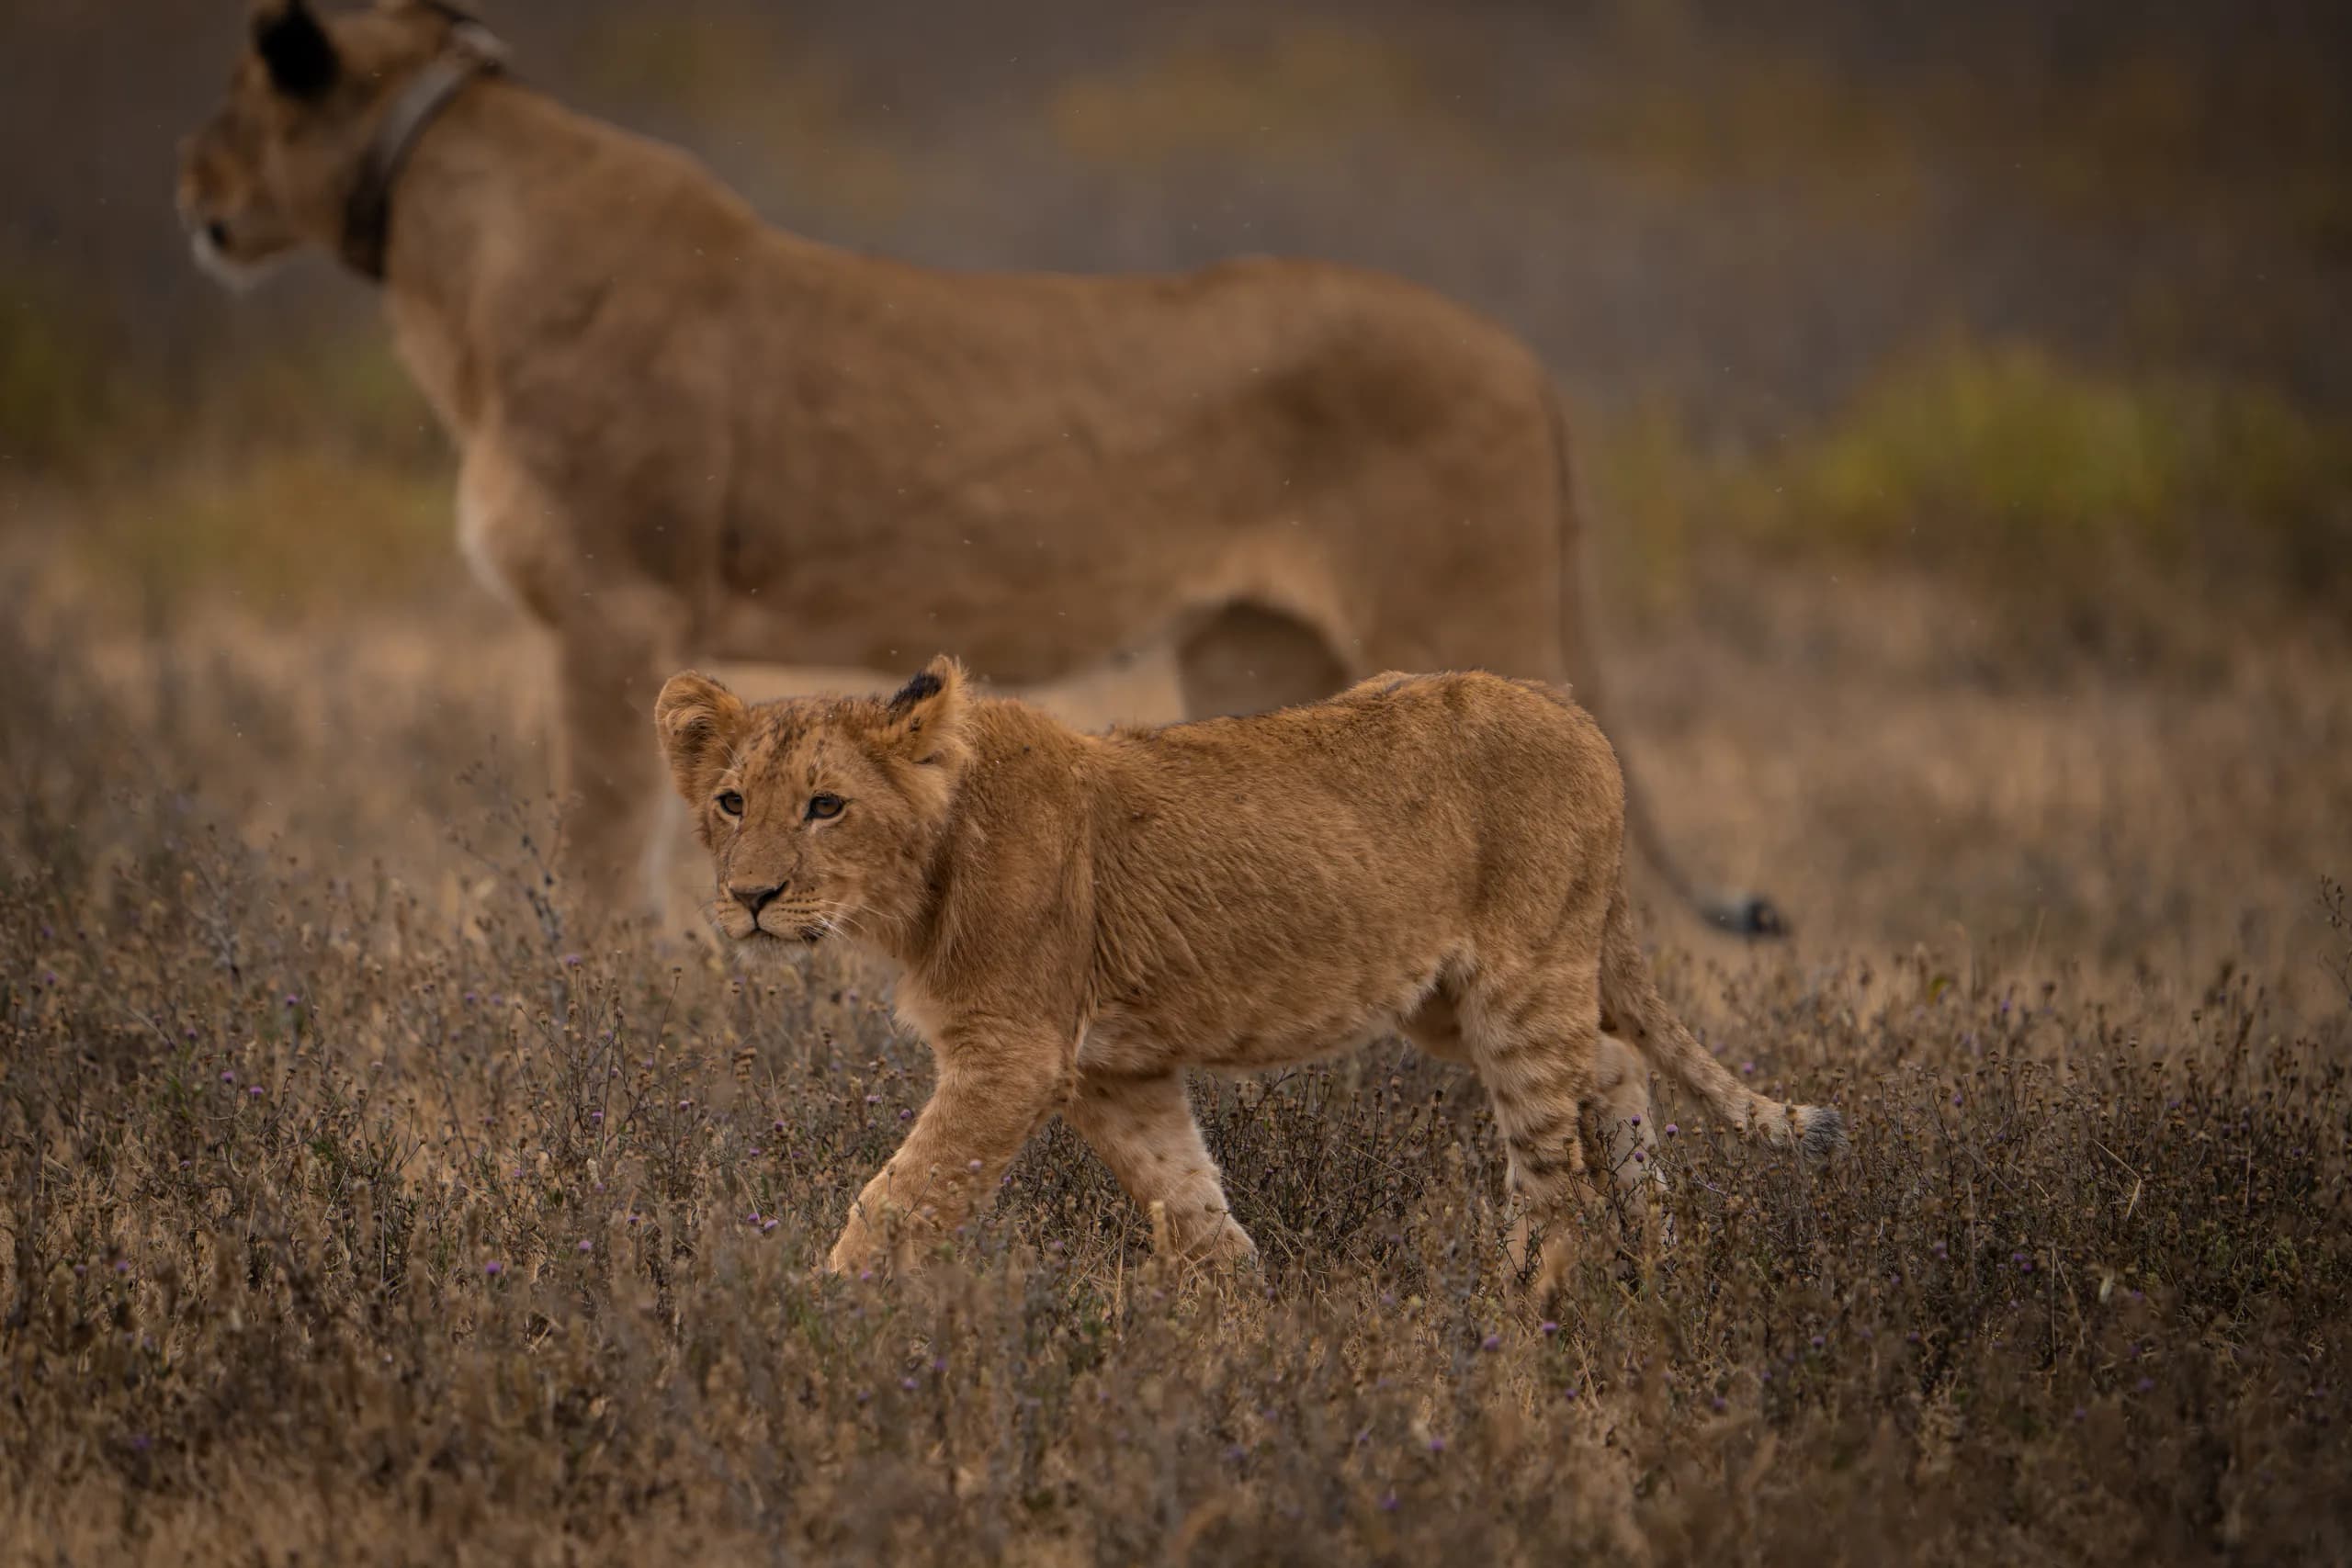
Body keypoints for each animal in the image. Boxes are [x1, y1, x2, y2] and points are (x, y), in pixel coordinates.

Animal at [175, 0, 1783, 938]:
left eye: (236, 100)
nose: (187, 190)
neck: (443, 251)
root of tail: (1527, 358)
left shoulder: (616, 605)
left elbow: (597, 865)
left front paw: (593, 1037)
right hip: (1263, 648)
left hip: (1473, 625)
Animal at [654, 658, 1843, 1287]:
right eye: (730, 802)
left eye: (825, 805)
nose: (749, 898)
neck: (917, 886)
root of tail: (1571, 708)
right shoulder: (1110, 1071)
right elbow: (1191, 1206)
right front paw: (1250, 1335)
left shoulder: (1011, 1058)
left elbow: (897, 1202)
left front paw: (818, 1323)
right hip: (1447, 1003)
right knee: (1613, 1061)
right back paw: (1664, 1254)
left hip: (1520, 988)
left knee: (1555, 1189)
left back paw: (1522, 1323)